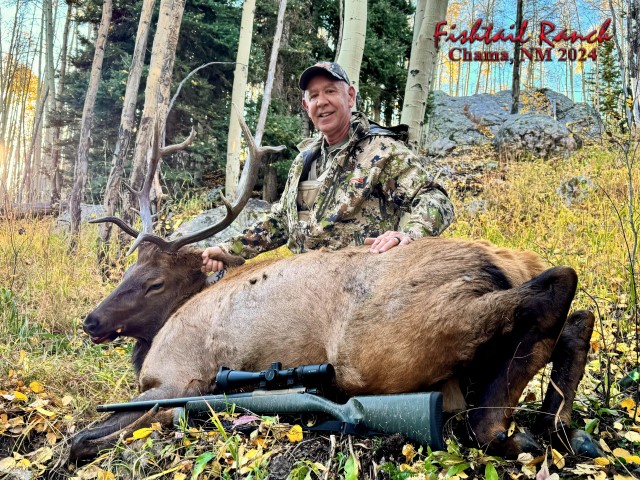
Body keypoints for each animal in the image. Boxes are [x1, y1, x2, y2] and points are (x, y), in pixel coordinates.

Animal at [71, 113, 602, 462]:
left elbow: (91, 436)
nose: (90, 321)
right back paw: (563, 429)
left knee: (555, 288)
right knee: (575, 319)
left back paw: (501, 431)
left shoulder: (175, 379)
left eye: (153, 282)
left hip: (390, 341)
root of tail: (500, 260)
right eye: (125, 271)